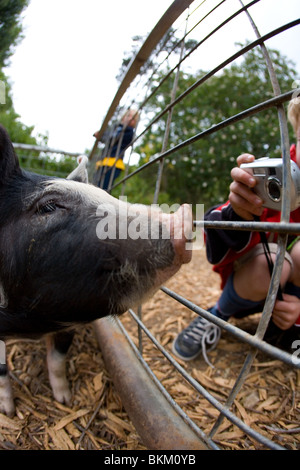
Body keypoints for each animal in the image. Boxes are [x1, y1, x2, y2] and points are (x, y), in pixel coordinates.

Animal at [0, 126, 192, 414]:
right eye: (48, 206)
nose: (184, 214)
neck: (30, 327)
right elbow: (2, 372)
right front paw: (8, 412)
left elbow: (58, 359)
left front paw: (65, 400)